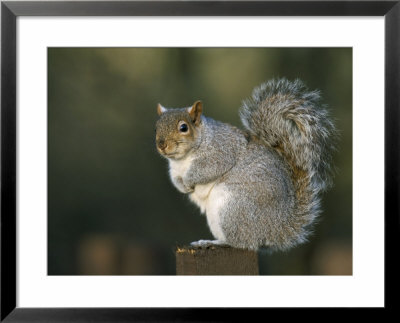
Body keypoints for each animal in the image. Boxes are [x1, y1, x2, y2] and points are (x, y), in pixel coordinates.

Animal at [155, 79, 336, 253]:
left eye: (183, 127)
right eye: (156, 127)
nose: (161, 145)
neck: (182, 159)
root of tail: (276, 229)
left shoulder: (220, 152)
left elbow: (207, 169)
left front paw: (188, 181)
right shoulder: (174, 169)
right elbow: (175, 179)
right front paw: (182, 186)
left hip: (232, 208)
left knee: (242, 243)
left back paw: (212, 242)